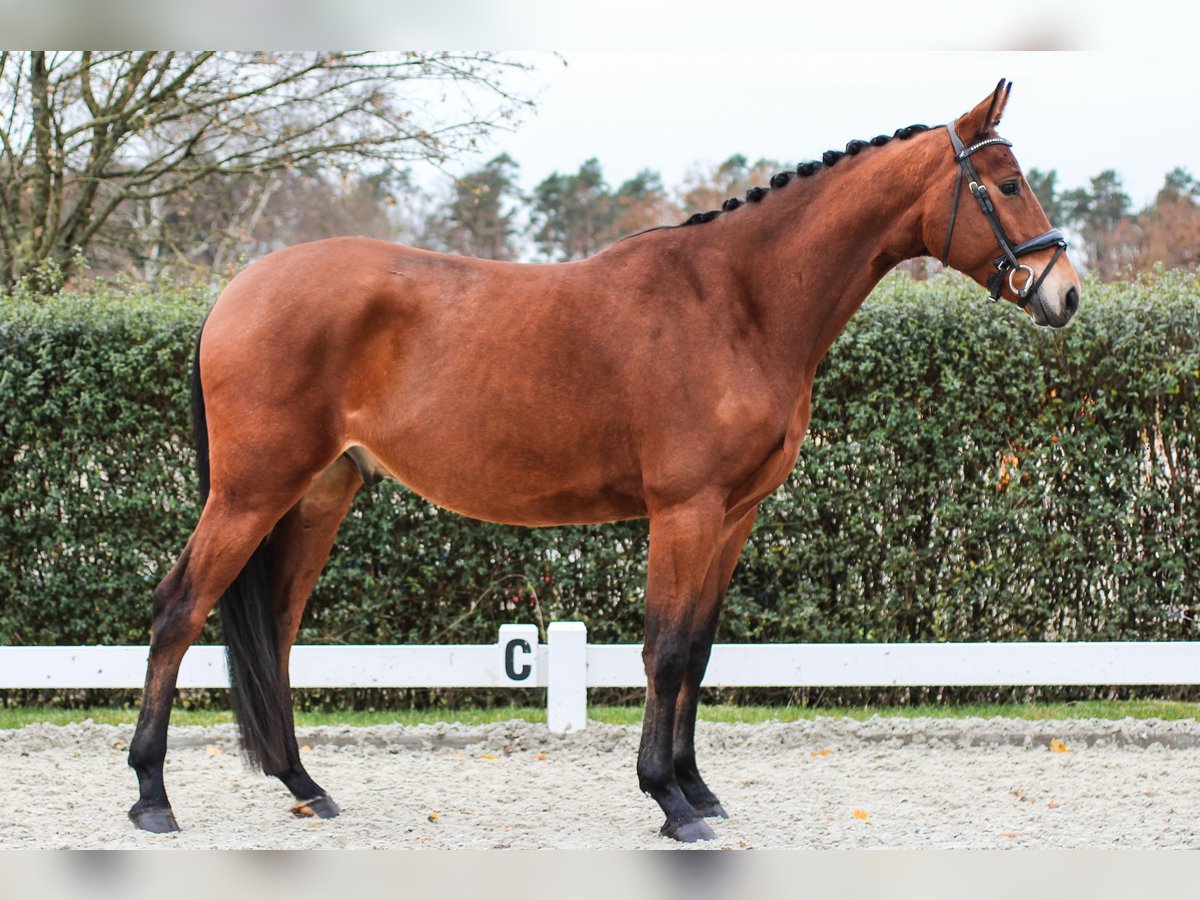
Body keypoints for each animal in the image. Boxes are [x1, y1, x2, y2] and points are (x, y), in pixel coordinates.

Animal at [129, 81, 1080, 844]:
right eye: (1005, 185)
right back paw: (151, 797)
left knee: (277, 631)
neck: (738, 302)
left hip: (318, 495)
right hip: (250, 492)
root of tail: (239, 290)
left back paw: (305, 784)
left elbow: (698, 650)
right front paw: (669, 801)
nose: (1064, 293)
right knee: (179, 611)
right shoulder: (686, 510)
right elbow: (664, 648)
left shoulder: (734, 516)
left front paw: (698, 787)